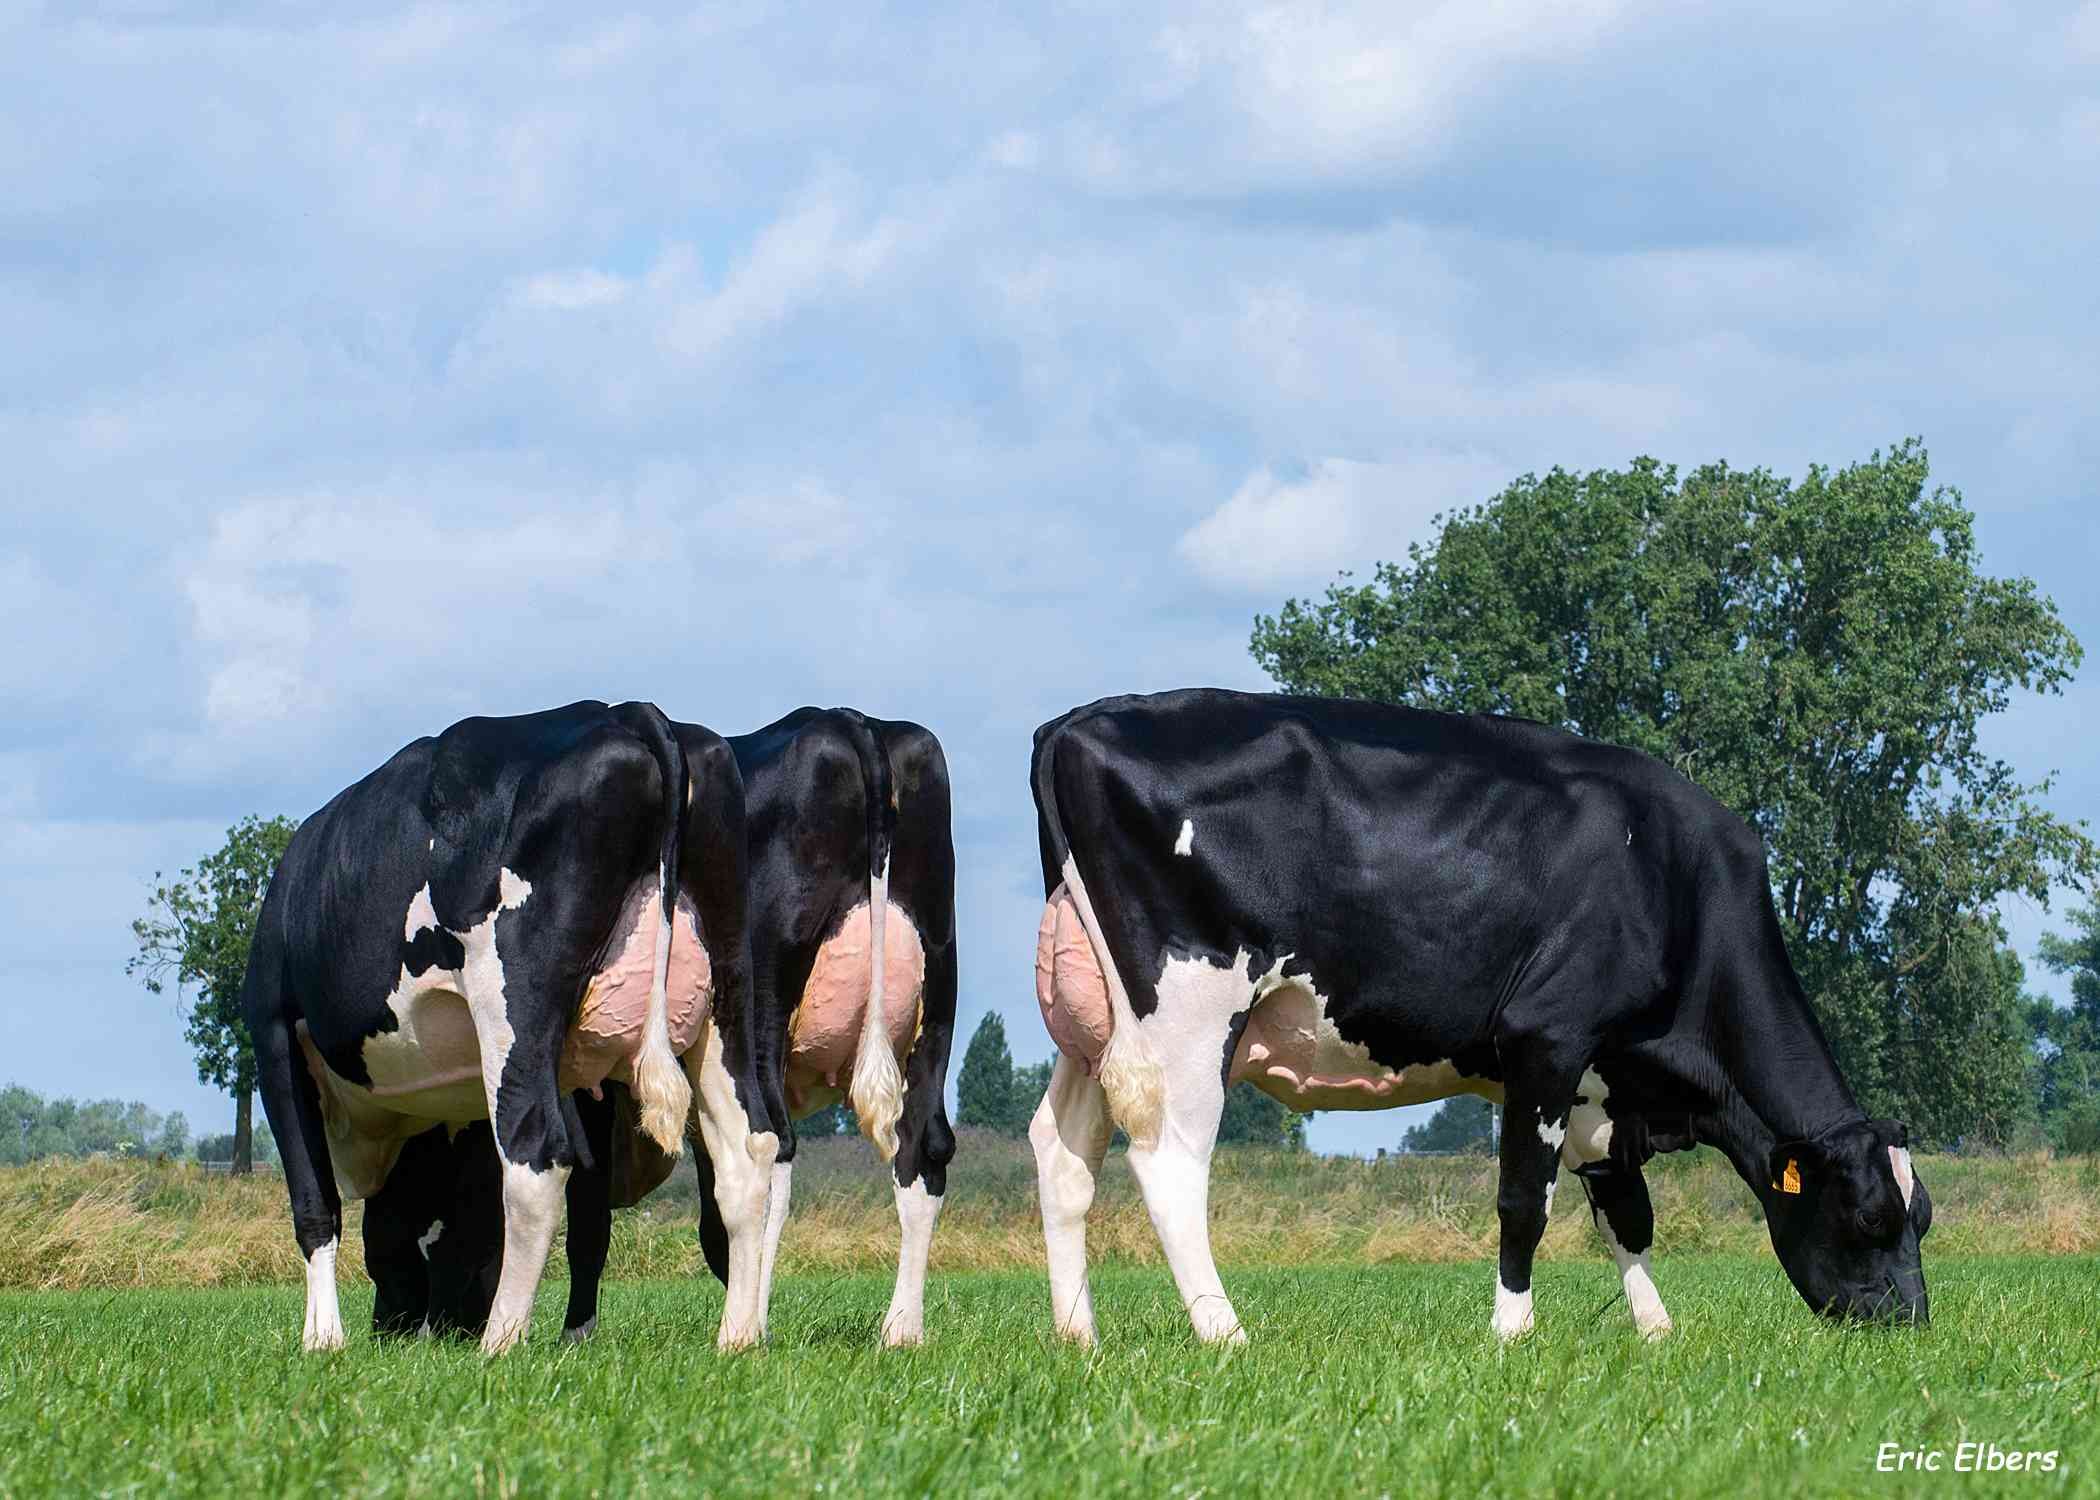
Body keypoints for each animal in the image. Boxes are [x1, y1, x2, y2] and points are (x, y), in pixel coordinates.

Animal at [240, 693, 781, 1352]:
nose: (395, 1328)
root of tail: (628, 711)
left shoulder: (273, 1035)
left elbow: (314, 1203)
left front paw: (322, 1338)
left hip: (515, 999)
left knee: (536, 1153)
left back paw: (500, 1341)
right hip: (727, 990)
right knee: (749, 1148)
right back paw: (738, 1336)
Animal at [369, 710, 961, 1344]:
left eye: (390, 1223)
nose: (392, 1331)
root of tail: (849, 721)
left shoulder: (590, 1090)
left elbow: (591, 1219)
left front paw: (577, 1335)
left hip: (767, 1007)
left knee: (777, 1148)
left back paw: (759, 1326)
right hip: (936, 993)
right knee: (921, 1150)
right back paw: (900, 1330)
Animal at [1024, 689, 1923, 1344]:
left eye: (1924, 1217)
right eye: (1869, 1215)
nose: (1911, 1323)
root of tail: (1079, 720)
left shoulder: (1601, 1088)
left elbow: (1628, 1216)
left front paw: (1656, 1332)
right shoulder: (1549, 1038)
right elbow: (1526, 1200)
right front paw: (1512, 1332)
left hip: (1094, 1021)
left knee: (1065, 1151)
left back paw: (1077, 1337)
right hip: (1187, 1016)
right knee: (1167, 1160)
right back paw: (1225, 1334)